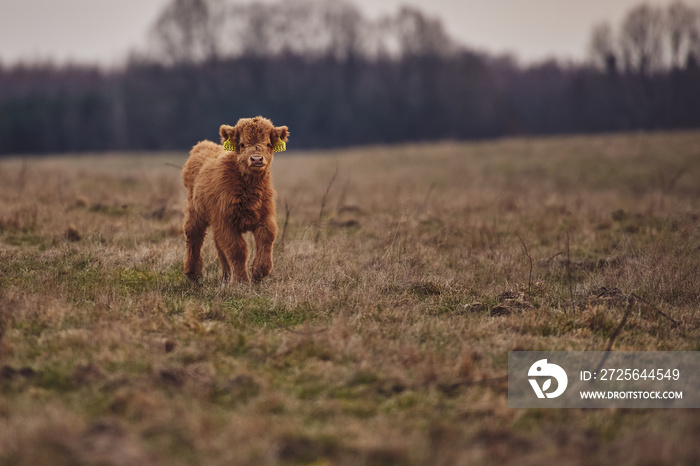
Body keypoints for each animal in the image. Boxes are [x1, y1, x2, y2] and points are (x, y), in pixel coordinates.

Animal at [183, 116, 290, 284]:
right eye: (242, 144)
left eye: (268, 144)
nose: (257, 159)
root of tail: (202, 145)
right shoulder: (225, 221)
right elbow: (237, 249)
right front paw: (241, 280)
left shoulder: (265, 217)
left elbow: (267, 237)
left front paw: (259, 271)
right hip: (195, 212)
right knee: (194, 236)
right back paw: (193, 273)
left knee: (218, 245)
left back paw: (226, 277)